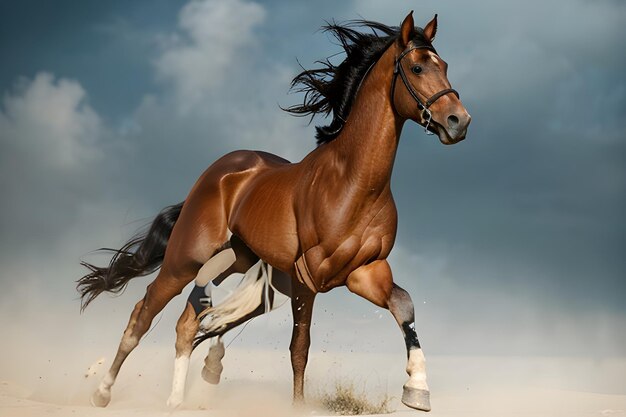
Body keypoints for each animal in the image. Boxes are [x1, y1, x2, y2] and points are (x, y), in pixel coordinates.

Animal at [77, 11, 468, 412]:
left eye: (444, 66)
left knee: (189, 322)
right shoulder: (305, 279)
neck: (352, 183)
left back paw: (176, 400)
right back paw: (103, 392)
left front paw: (417, 389)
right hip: (183, 261)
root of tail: (216, 172)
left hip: (236, 260)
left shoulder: (365, 272)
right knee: (143, 314)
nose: (459, 121)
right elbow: (300, 349)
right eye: (417, 67)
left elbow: (403, 306)